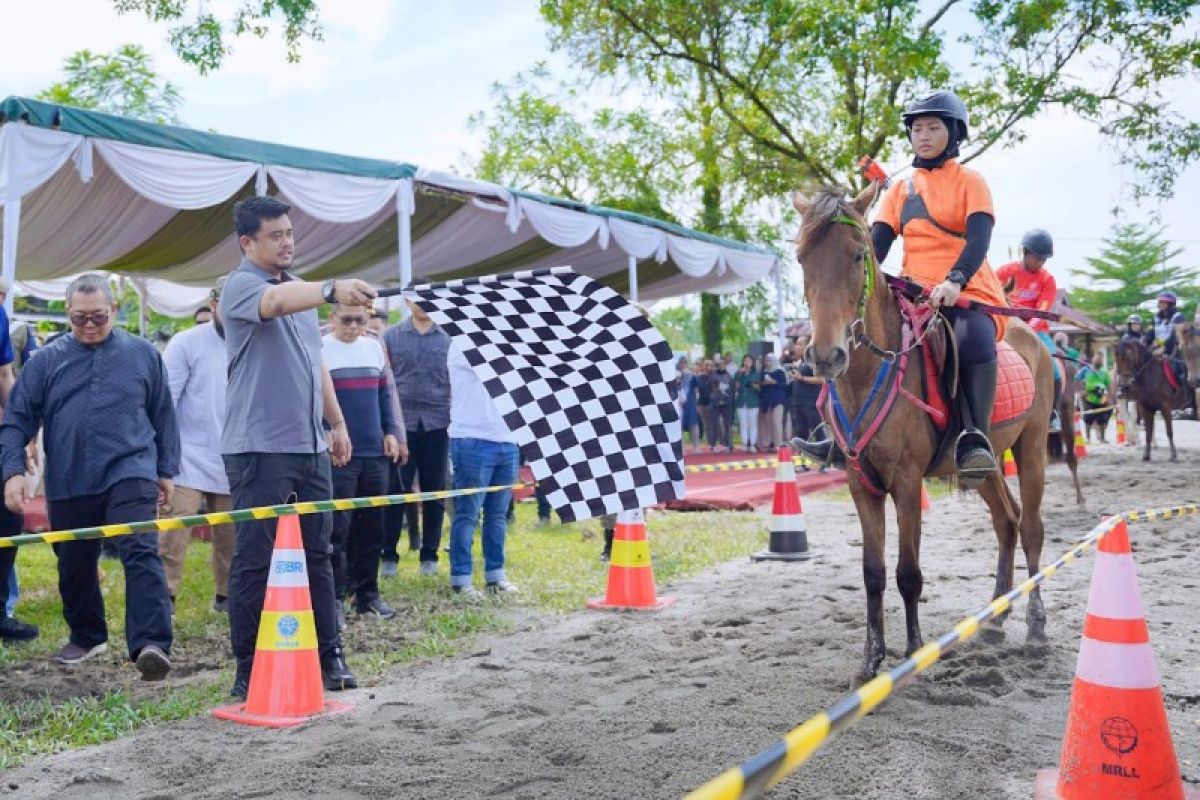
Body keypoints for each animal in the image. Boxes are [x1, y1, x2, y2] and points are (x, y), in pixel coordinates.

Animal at [792, 185, 1056, 681]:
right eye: (801, 258)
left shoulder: (907, 481)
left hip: (1032, 449)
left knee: (1031, 528)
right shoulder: (861, 482)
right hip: (983, 467)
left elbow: (908, 573)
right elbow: (873, 572)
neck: (867, 375)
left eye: (858, 256)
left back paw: (1035, 627)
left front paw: (913, 654)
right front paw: (871, 658)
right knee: (1006, 521)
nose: (826, 356)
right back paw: (997, 618)